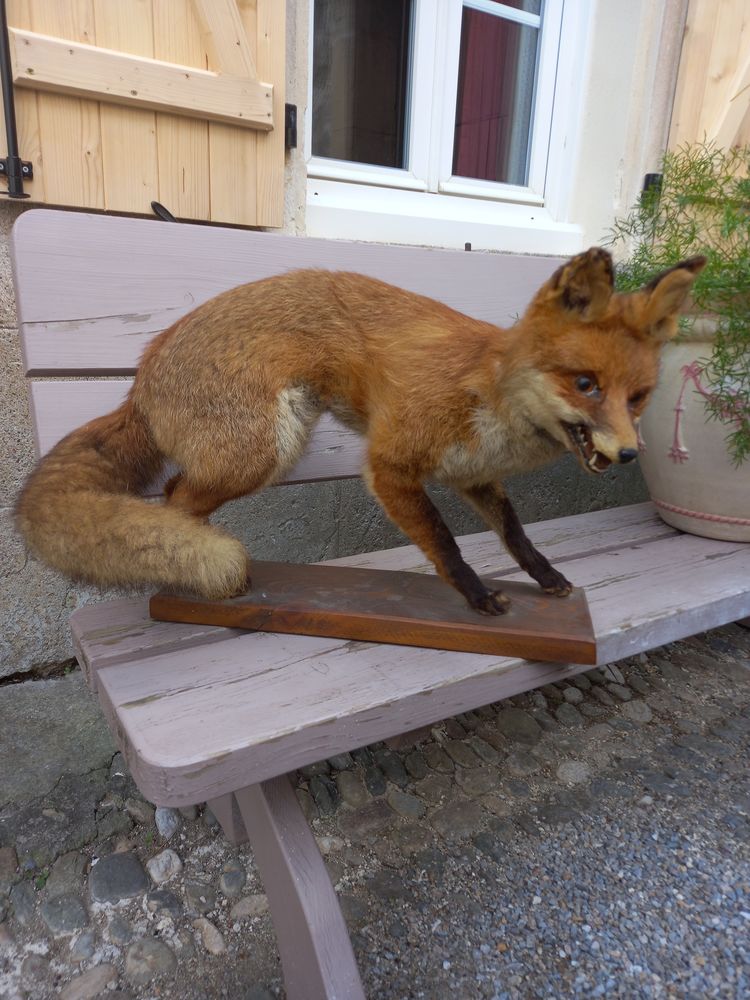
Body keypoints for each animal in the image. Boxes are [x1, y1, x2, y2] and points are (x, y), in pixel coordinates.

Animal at [15, 247, 704, 616]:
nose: (629, 453)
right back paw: (192, 585)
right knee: (174, 499)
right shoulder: (393, 466)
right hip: (265, 448)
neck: (488, 393)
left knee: (175, 496)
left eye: (637, 397)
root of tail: (144, 368)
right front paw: (477, 598)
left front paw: (546, 578)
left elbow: (516, 537)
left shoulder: (474, 475)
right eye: (585, 384)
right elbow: (445, 544)